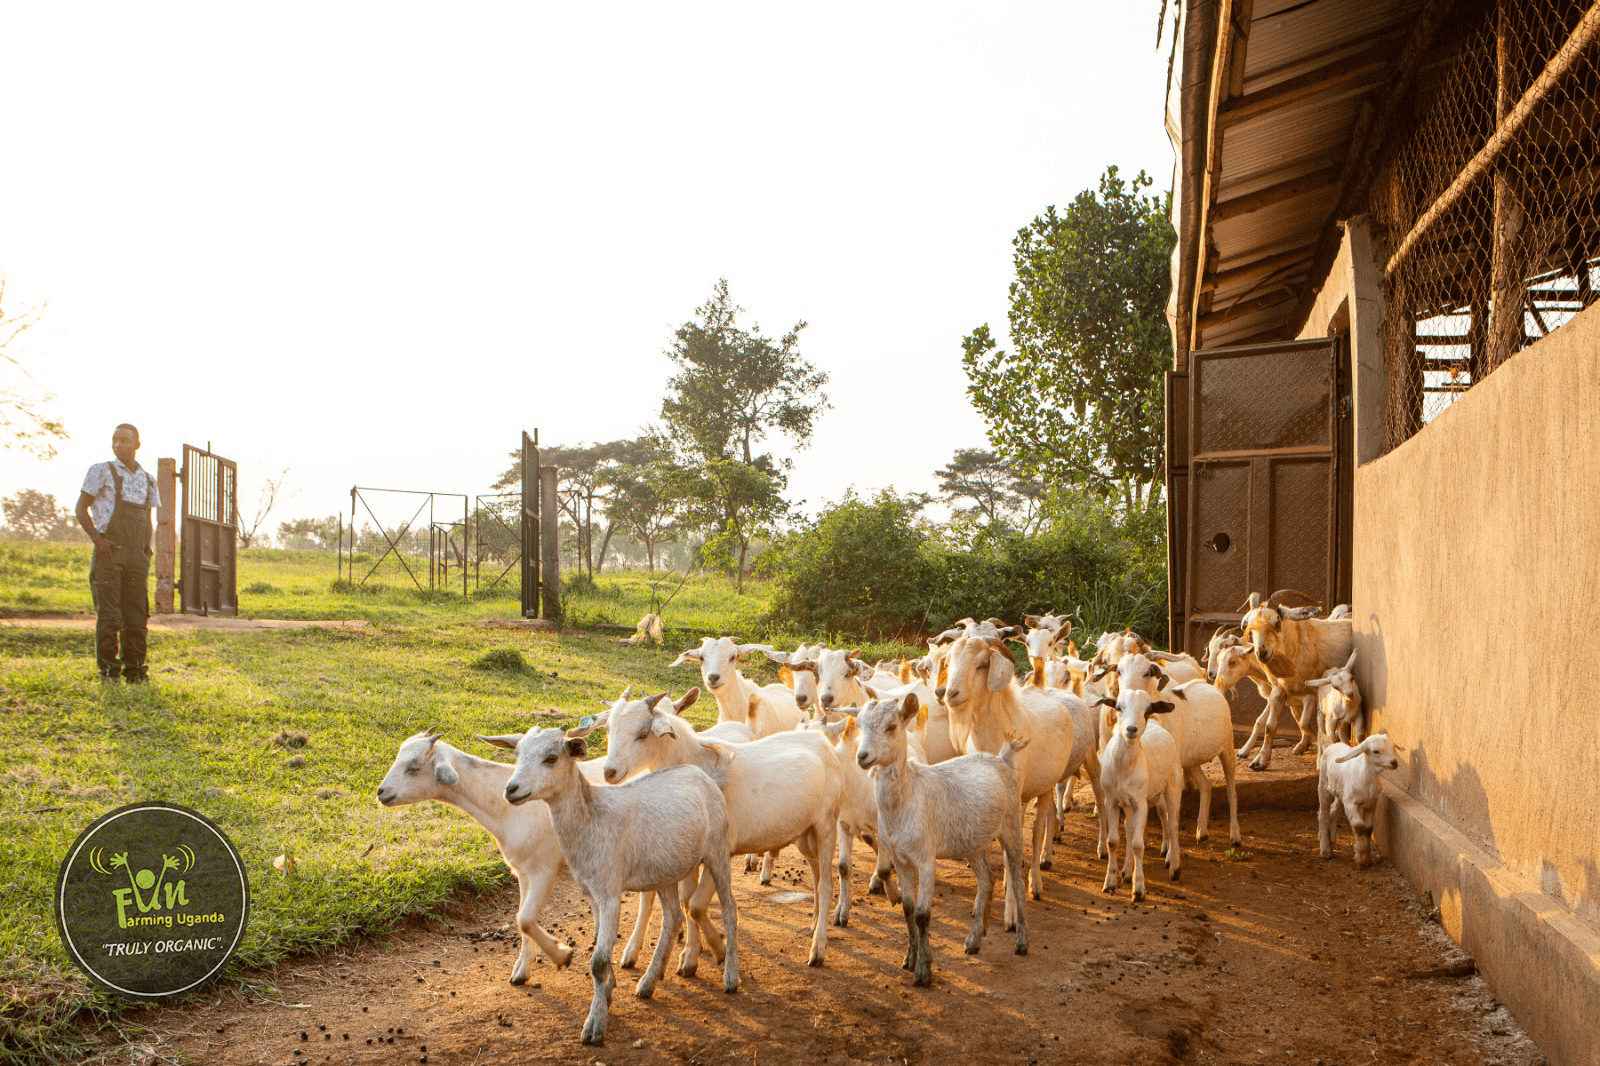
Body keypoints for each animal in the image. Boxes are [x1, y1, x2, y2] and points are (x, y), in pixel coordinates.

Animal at [492, 713, 736, 1043]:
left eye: (551, 758)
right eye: (516, 755)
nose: (511, 789)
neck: (592, 819)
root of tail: (698, 773)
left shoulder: (609, 891)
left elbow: (597, 961)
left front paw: (595, 1024)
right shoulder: (592, 892)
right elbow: (599, 948)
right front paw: (607, 993)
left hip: (717, 849)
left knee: (729, 908)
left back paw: (731, 977)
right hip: (666, 870)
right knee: (673, 917)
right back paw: (648, 982)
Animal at [857, 694, 1030, 985]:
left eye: (891, 727)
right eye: (859, 725)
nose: (862, 756)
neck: (907, 797)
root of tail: (1003, 759)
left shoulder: (926, 859)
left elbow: (922, 914)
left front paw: (923, 971)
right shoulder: (900, 860)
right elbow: (907, 909)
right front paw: (909, 958)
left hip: (1011, 824)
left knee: (1017, 879)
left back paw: (1022, 942)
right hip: (973, 841)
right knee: (987, 879)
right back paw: (973, 941)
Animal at [1094, 688, 1184, 896]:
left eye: (1147, 710)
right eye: (1119, 707)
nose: (1131, 729)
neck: (1123, 767)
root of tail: (1156, 724)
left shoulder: (1141, 804)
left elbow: (1138, 844)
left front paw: (1139, 889)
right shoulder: (1111, 801)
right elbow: (1113, 841)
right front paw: (1110, 882)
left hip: (1172, 784)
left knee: (1173, 823)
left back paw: (1174, 867)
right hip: (1127, 803)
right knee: (1129, 828)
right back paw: (1127, 872)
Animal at [1318, 729, 1408, 864]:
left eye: (1393, 747)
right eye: (1375, 751)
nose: (1394, 763)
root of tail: (1332, 745)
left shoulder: (1371, 803)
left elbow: (1369, 827)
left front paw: (1366, 856)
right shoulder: (1351, 804)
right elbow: (1359, 826)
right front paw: (1361, 857)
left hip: (1341, 792)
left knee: (1333, 810)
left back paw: (1332, 840)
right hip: (1323, 785)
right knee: (1323, 814)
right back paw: (1325, 850)